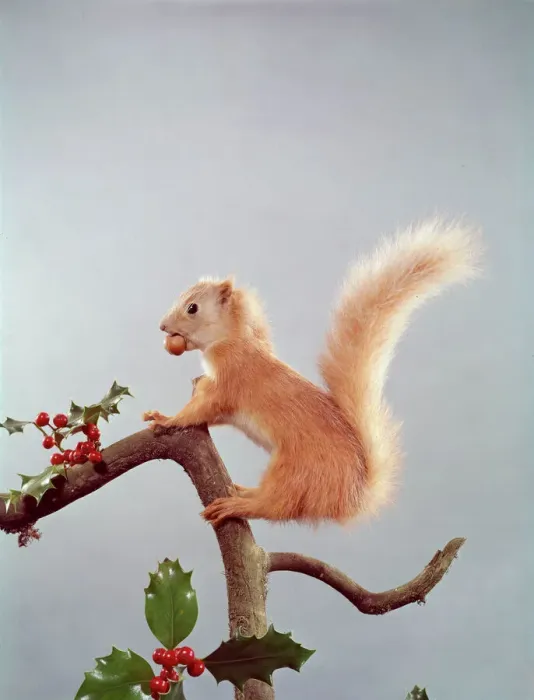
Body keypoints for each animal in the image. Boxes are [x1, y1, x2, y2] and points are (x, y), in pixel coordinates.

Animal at [143, 218, 481, 527]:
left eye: (192, 308)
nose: (162, 326)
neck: (235, 339)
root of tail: (352, 496)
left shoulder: (230, 378)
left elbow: (202, 409)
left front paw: (166, 419)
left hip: (295, 473)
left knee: (277, 506)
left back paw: (238, 505)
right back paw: (243, 492)